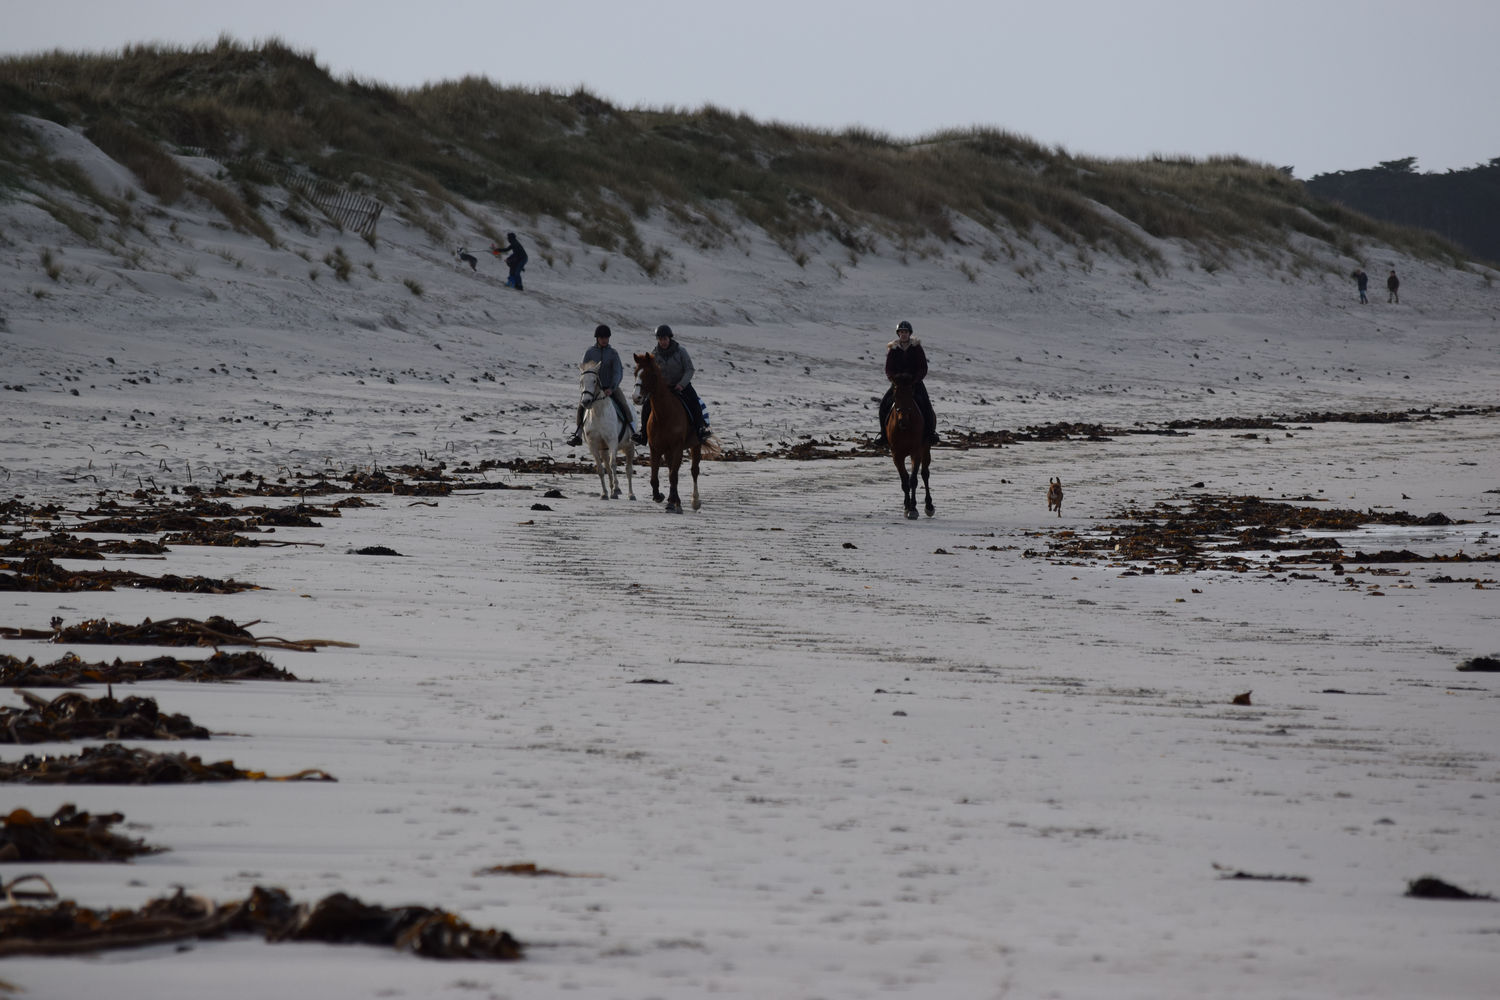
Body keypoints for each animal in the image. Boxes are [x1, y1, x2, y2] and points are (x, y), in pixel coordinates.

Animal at [579, 359, 633, 500]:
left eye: (594, 381)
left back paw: (630, 494)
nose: (586, 402)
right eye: (581, 381)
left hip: (629, 446)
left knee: (628, 470)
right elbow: (600, 469)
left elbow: (614, 464)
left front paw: (615, 490)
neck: (598, 414)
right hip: (604, 450)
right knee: (608, 467)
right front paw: (604, 493)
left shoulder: (612, 441)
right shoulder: (593, 446)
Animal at [630, 352, 717, 512]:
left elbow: (673, 476)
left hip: (695, 445)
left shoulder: (677, 447)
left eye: (650, 374)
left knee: (694, 470)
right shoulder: (655, 448)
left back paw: (694, 501)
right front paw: (660, 497)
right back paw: (675, 501)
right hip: (668, 450)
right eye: (635, 373)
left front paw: (672, 501)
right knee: (672, 468)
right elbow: (655, 477)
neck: (664, 414)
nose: (636, 397)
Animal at [882, 371, 930, 521]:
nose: (903, 421)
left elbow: (913, 479)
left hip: (926, 450)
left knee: (925, 474)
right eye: (895, 395)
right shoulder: (896, 455)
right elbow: (904, 481)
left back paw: (929, 506)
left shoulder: (916, 452)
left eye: (911, 394)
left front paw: (913, 509)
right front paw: (907, 507)